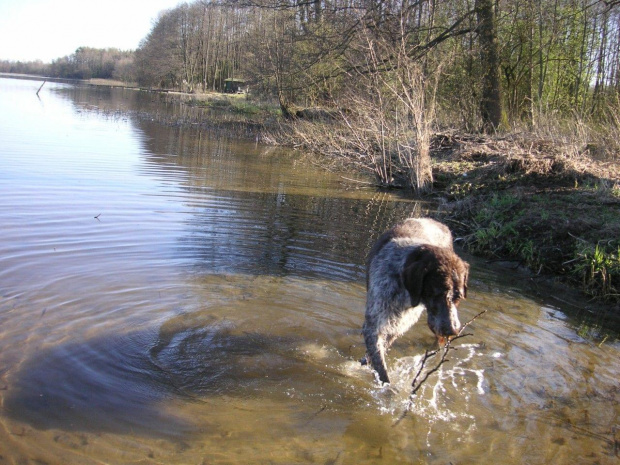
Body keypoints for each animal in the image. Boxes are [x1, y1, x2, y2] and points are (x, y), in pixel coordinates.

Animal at [360, 218, 468, 384]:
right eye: (437, 294)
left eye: (458, 298)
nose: (453, 330)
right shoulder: (374, 325)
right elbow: (380, 364)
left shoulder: (397, 326)